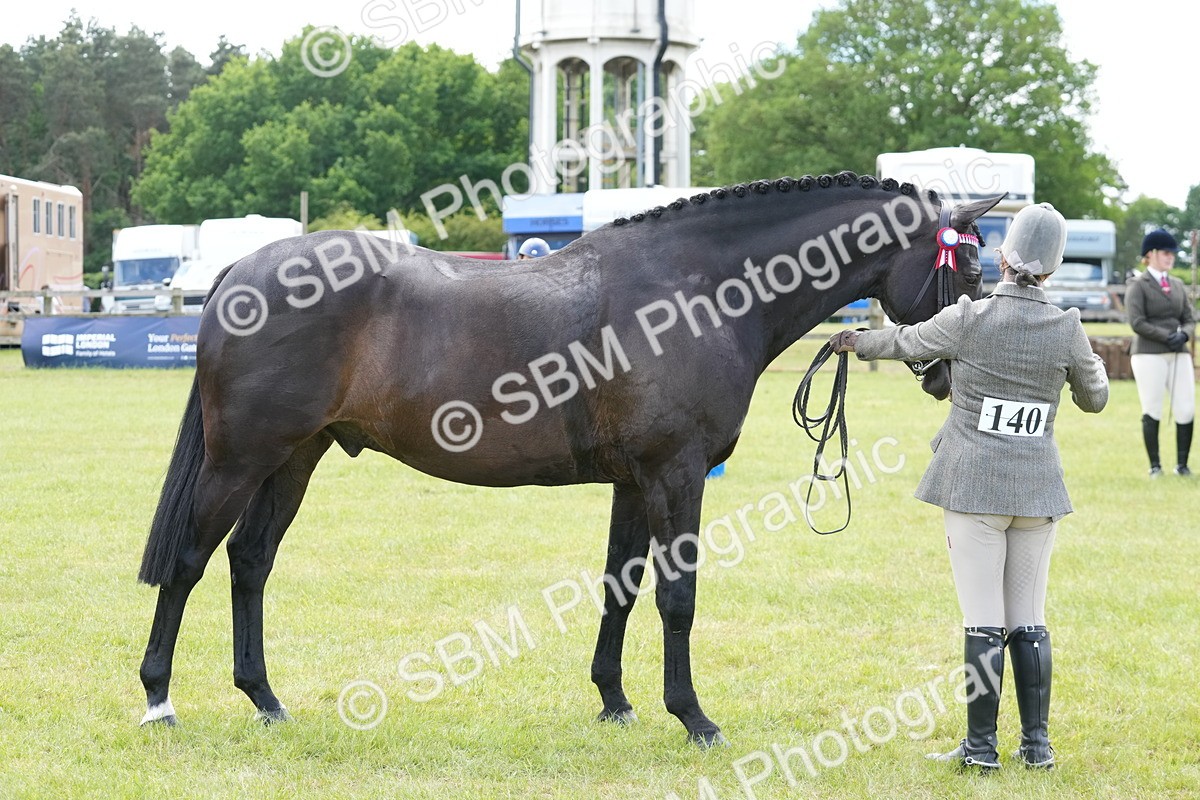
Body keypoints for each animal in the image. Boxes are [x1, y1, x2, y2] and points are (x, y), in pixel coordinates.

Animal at [137, 171, 1000, 746]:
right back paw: (159, 699)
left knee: (249, 563)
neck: (696, 290)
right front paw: (694, 717)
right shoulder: (676, 474)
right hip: (240, 461)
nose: (949, 373)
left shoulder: (635, 482)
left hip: (294, 460)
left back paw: (265, 699)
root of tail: (240, 274)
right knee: (188, 564)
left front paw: (615, 701)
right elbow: (677, 597)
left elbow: (621, 586)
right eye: (966, 267)